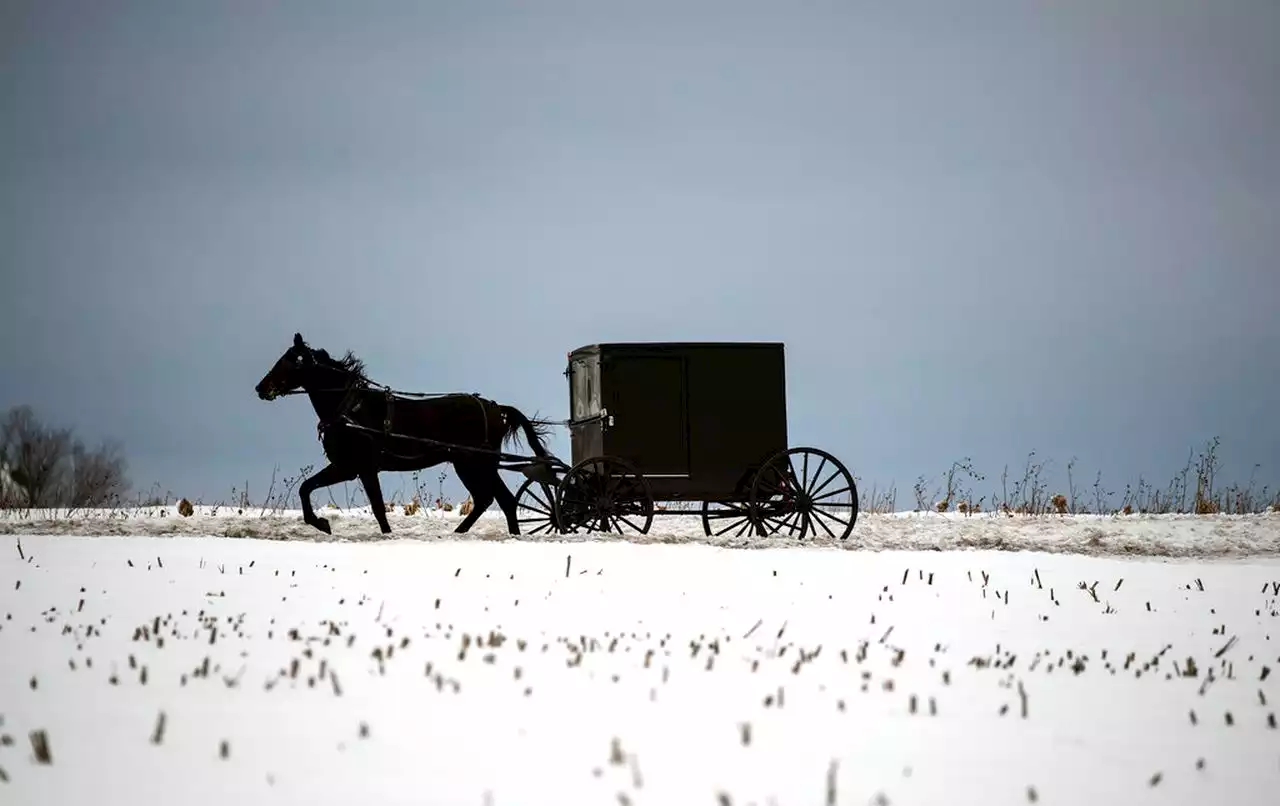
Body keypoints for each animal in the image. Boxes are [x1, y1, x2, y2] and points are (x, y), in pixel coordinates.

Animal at [253, 332, 550, 537]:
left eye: (290, 362)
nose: (261, 388)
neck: (350, 409)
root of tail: (495, 408)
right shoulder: (348, 467)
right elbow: (306, 487)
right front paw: (321, 523)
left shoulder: (357, 467)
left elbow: (376, 507)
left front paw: (324, 523)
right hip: (472, 464)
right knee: (493, 500)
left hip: (475, 463)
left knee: (499, 499)